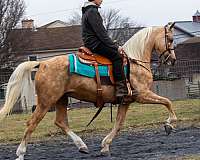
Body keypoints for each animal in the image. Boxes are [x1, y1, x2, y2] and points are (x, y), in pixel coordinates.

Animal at [1, 22, 177, 159]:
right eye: (170, 39)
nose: (173, 60)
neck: (135, 61)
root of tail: (42, 64)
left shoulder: (125, 101)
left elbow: (119, 124)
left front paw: (105, 146)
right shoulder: (143, 95)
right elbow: (167, 102)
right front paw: (169, 124)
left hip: (61, 99)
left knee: (60, 122)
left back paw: (82, 146)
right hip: (46, 102)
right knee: (32, 123)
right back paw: (20, 153)